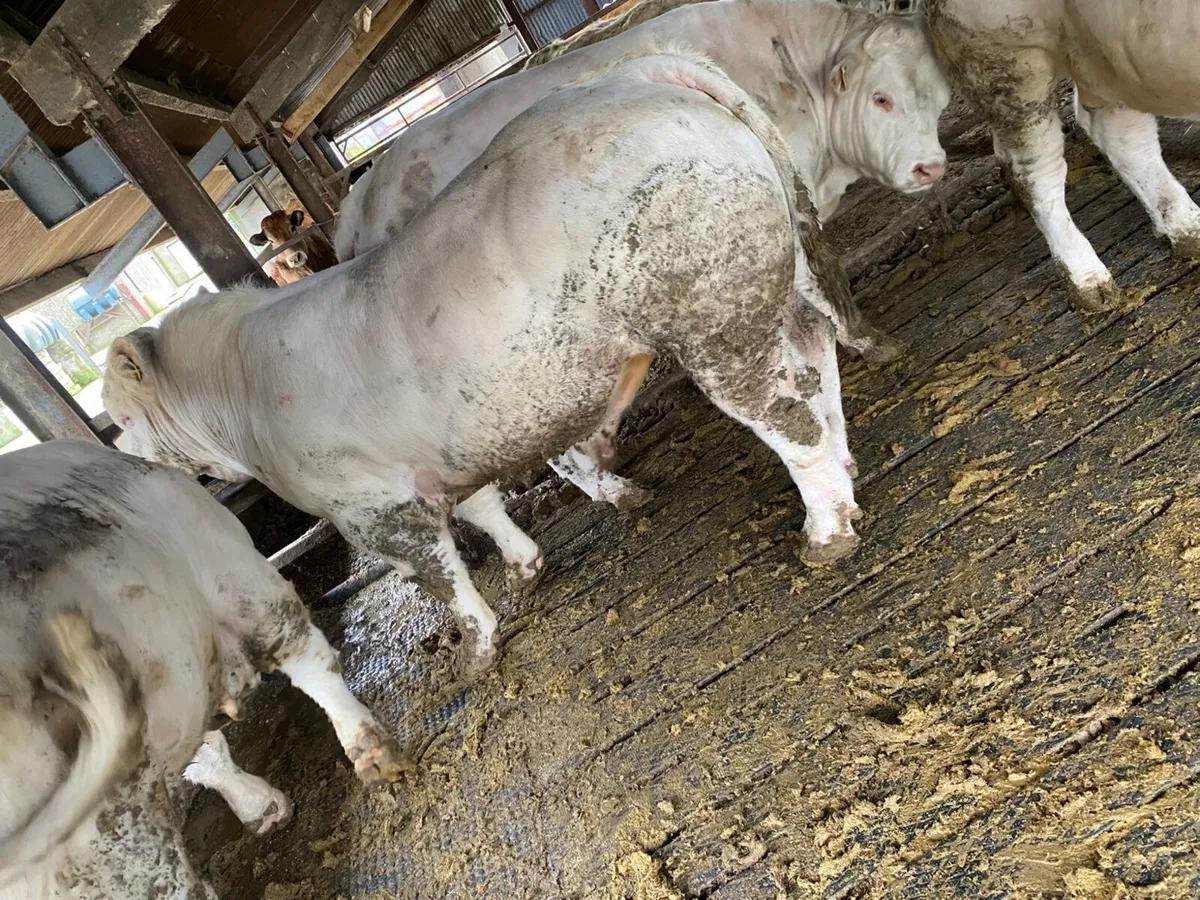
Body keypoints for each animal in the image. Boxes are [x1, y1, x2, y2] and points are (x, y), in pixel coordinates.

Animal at [103, 49, 865, 682]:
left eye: (118, 418)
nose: (126, 464)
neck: (241, 395)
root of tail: (635, 75)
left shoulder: (371, 506)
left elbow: (441, 576)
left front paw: (474, 649)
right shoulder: (442, 447)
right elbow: (482, 505)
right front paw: (526, 565)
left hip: (711, 312)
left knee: (783, 414)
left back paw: (825, 531)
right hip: (774, 269)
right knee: (814, 351)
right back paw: (848, 471)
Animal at [925, 0, 1200, 312]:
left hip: (1108, 55)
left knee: (1123, 134)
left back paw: (1187, 229)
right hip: (1008, 65)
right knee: (1034, 172)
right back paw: (1088, 281)